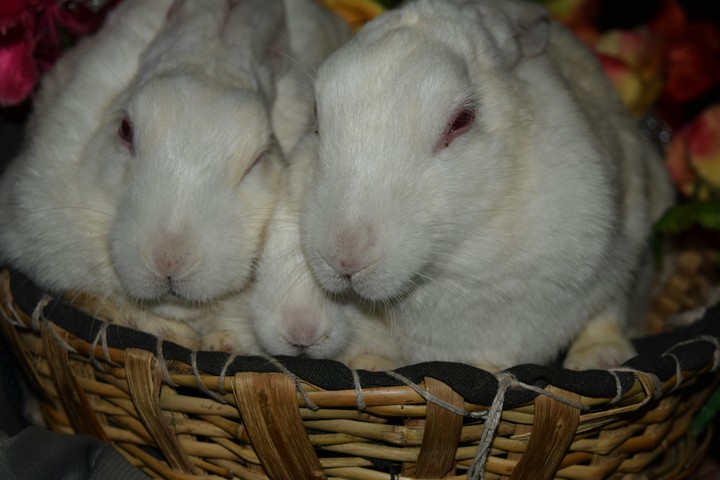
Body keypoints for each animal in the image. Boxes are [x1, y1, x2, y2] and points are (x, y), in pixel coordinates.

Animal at [299, 0, 675, 371]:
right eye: (316, 115)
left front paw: (599, 359)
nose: (345, 256)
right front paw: (369, 365)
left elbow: (606, 313)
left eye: (461, 121)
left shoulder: (623, 247)